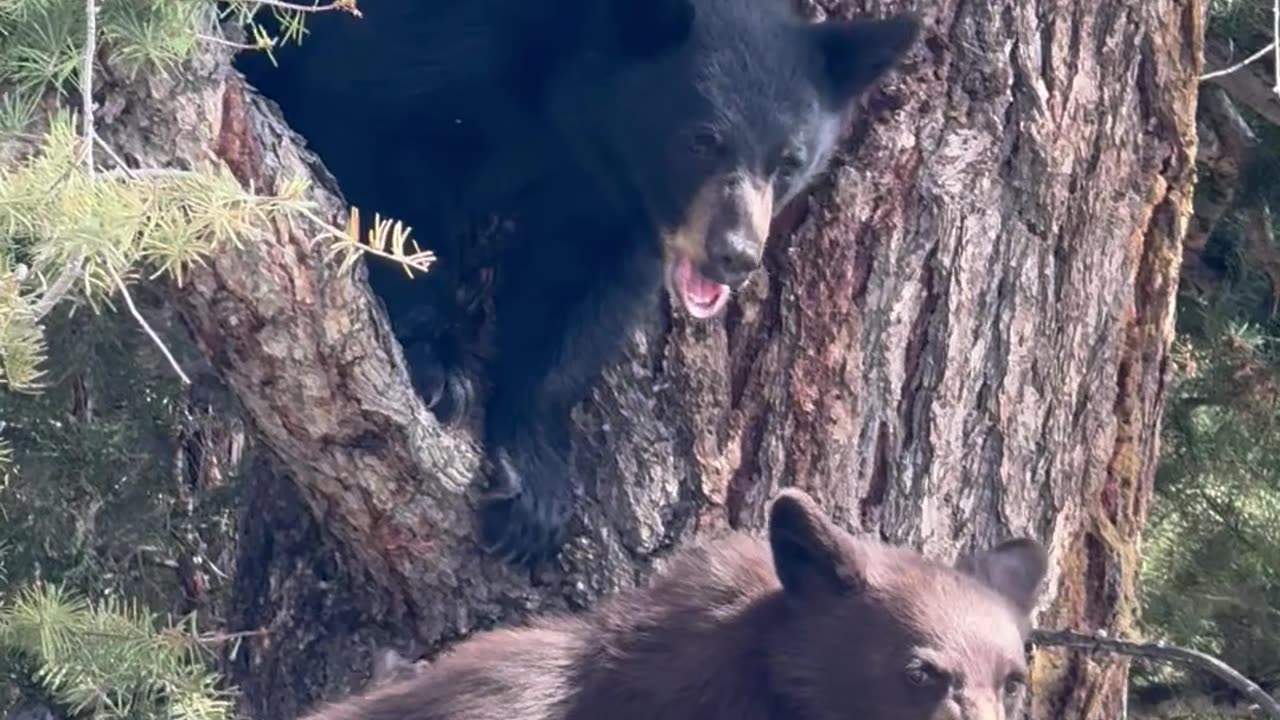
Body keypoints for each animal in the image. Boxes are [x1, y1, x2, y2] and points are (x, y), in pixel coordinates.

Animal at [233, 0, 921, 565]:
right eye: (702, 139)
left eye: (789, 161)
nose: (735, 255)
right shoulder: (420, 53)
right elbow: (382, 168)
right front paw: (437, 363)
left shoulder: (613, 204)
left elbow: (583, 301)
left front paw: (534, 478)